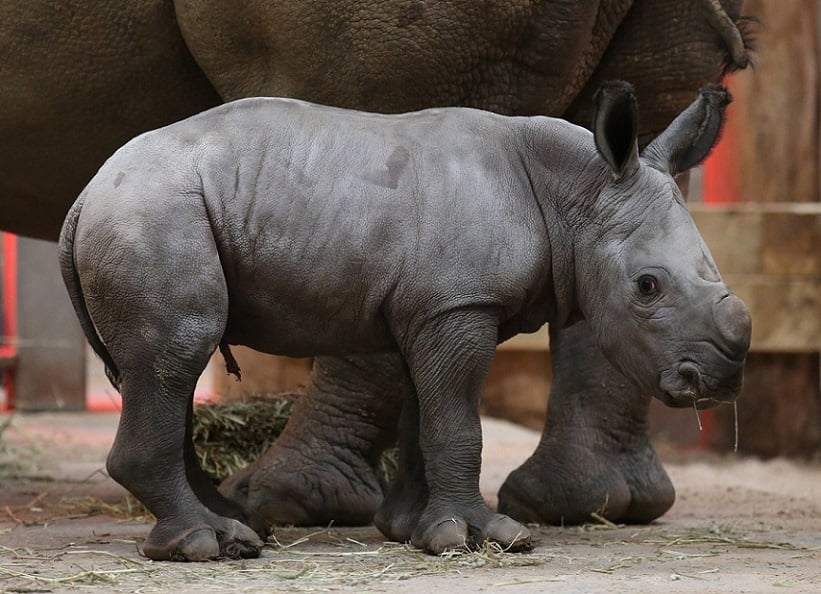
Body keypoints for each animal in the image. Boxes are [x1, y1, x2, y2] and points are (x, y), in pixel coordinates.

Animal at [3, 0, 752, 528]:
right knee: (174, 352)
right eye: (647, 286)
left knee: (168, 364)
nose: (716, 380)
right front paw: (472, 534)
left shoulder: (435, 304)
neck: (574, 190)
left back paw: (247, 522)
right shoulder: (453, 303)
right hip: (153, 215)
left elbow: (432, 416)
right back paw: (220, 534)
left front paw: (420, 529)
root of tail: (84, 202)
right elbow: (455, 419)